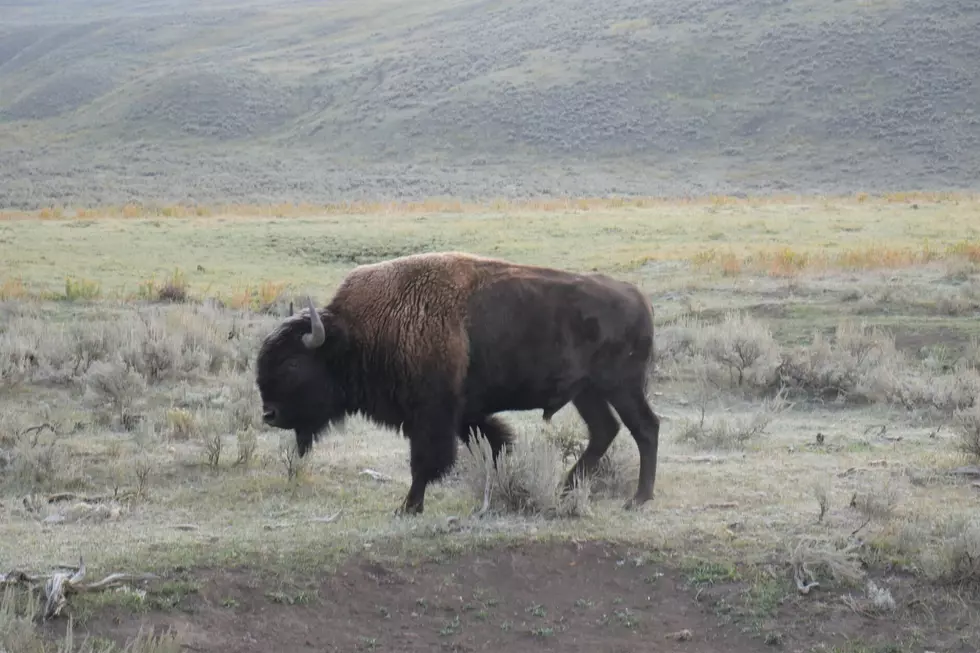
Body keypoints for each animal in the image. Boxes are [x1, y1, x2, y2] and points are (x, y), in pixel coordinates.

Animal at [256, 253, 664, 516]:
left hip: (620, 386)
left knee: (645, 427)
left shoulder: (432, 416)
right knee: (605, 430)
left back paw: (638, 499)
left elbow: (426, 461)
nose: (269, 414)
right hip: (588, 392)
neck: (360, 334)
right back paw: (567, 488)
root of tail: (639, 298)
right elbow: (493, 443)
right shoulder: (465, 415)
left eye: (292, 363)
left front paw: (408, 507)